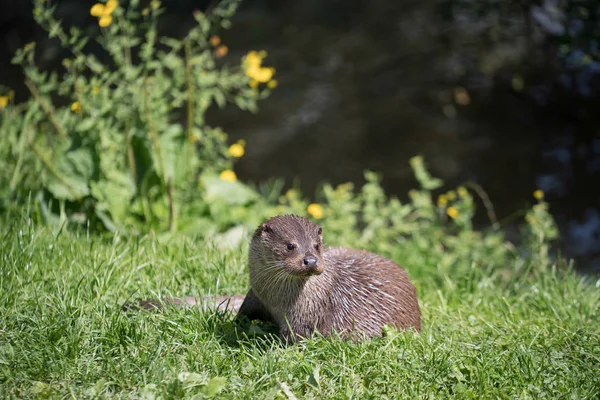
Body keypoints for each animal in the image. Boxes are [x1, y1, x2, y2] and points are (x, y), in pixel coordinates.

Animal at [134, 214, 420, 342]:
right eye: (290, 245)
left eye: (316, 245)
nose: (311, 260)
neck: (278, 302)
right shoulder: (255, 295)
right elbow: (242, 315)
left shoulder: (305, 321)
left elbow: (293, 340)